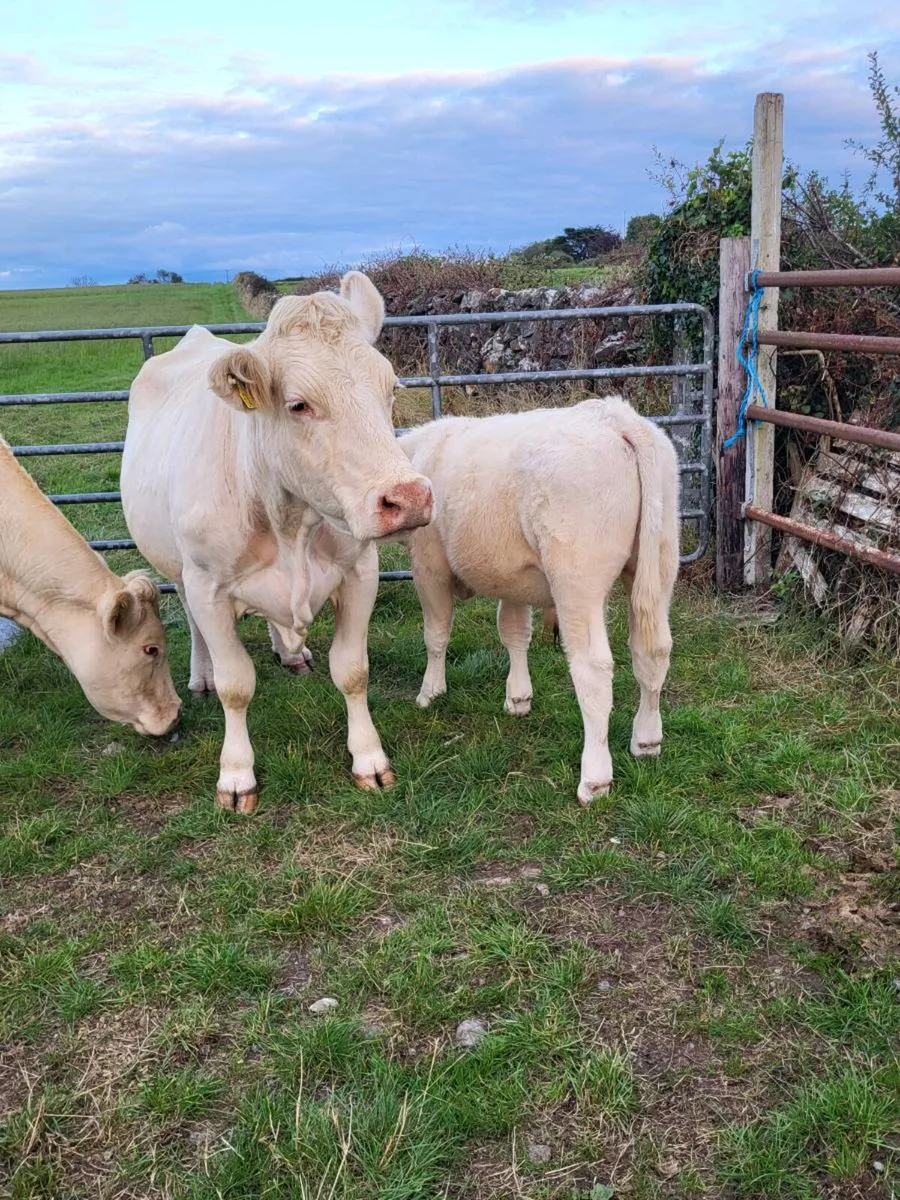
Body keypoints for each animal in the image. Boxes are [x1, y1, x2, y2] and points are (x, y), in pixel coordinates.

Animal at [120, 272, 433, 814]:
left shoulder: (361, 571)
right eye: (299, 404)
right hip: (178, 569)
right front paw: (236, 775)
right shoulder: (208, 586)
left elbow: (353, 670)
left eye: (391, 389)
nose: (410, 498)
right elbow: (236, 685)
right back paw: (201, 675)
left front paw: (368, 759)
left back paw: (290, 655)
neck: (291, 523)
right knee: (193, 624)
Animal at [392, 396, 680, 805]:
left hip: (577, 581)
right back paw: (646, 740)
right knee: (652, 650)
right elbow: (514, 632)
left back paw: (595, 778)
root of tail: (616, 417)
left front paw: (430, 692)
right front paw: (518, 698)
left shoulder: (428, 565)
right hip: (660, 562)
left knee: (593, 667)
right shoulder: (513, 577)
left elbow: (436, 634)